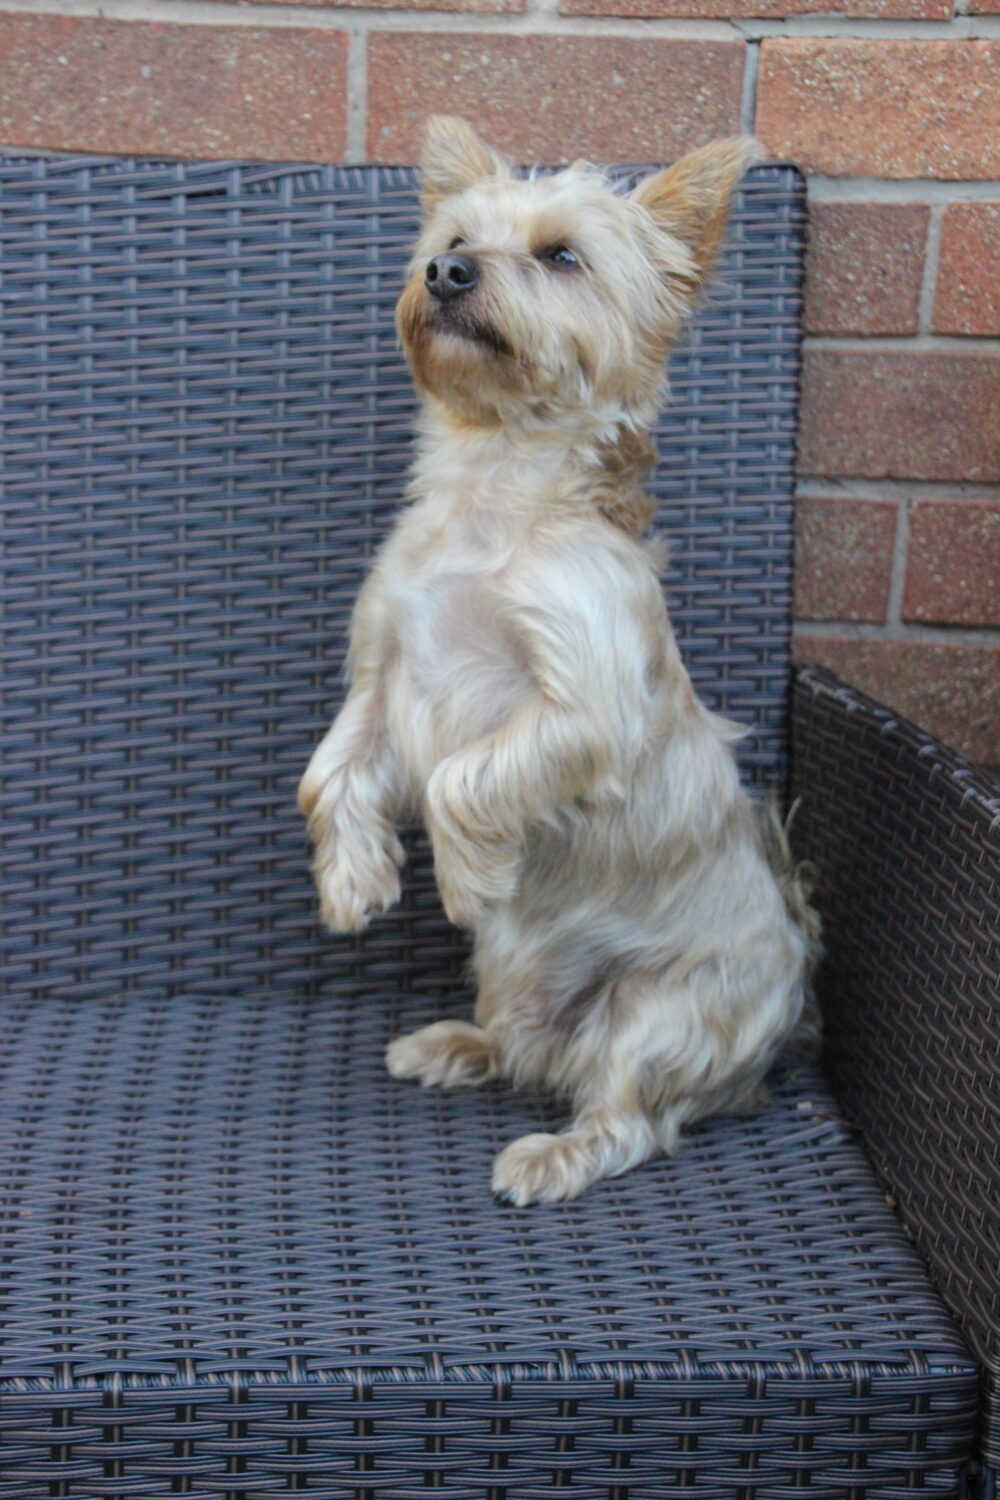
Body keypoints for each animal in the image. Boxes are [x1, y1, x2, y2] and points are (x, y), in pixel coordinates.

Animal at [298, 116, 819, 1206]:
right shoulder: (385, 676)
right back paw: (455, 1046)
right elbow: (327, 775)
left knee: (627, 1117)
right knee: (525, 1049)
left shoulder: (583, 711)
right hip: (511, 982)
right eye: (454, 237)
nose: (445, 271)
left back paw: (550, 1156)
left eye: (562, 256)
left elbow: (458, 778)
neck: (492, 492)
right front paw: (354, 882)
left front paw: (464, 881)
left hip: (658, 1014)